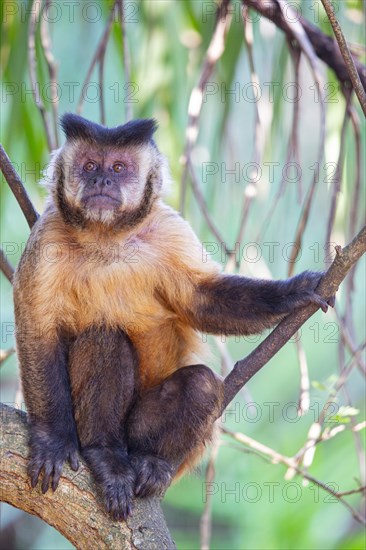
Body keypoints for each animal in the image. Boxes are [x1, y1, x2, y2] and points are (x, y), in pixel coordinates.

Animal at [13, 115, 334, 520]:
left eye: (118, 168)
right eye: (89, 166)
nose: (101, 181)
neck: (106, 237)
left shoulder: (169, 230)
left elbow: (202, 301)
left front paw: (295, 291)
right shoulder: (46, 239)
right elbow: (36, 333)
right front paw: (53, 441)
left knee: (201, 384)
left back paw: (152, 462)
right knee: (104, 339)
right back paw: (104, 453)